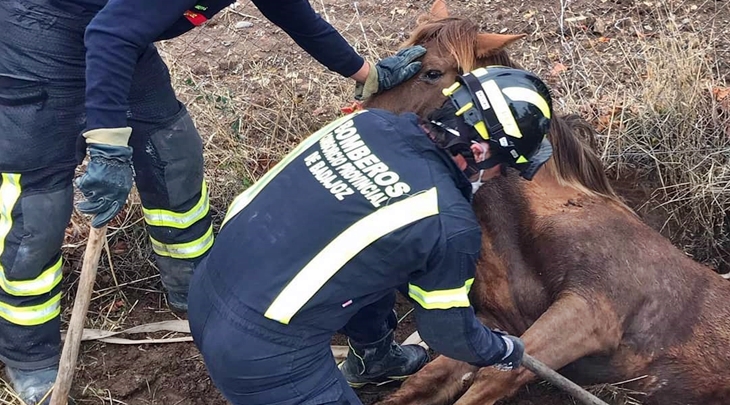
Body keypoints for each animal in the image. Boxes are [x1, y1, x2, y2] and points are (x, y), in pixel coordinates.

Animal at [364, 0, 730, 404]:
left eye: (432, 72)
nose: (363, 122)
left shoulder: (587, 314)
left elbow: (492, 378)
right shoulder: (495, 329)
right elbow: (422, 382)